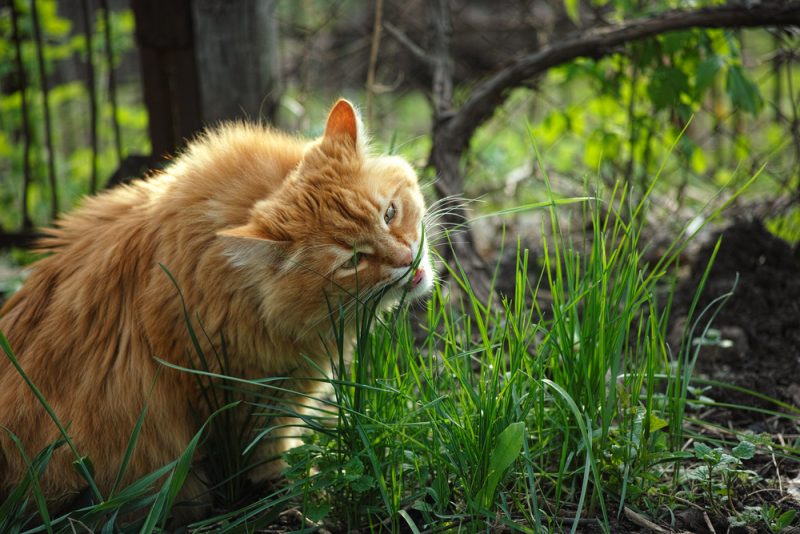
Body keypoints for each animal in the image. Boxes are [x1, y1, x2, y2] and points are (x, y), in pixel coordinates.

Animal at [0, 99, 434, 516]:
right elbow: (267, 454)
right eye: (352, 261)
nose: (405, 258)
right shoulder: (245, 396)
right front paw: (294, 488)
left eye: (390, 213)